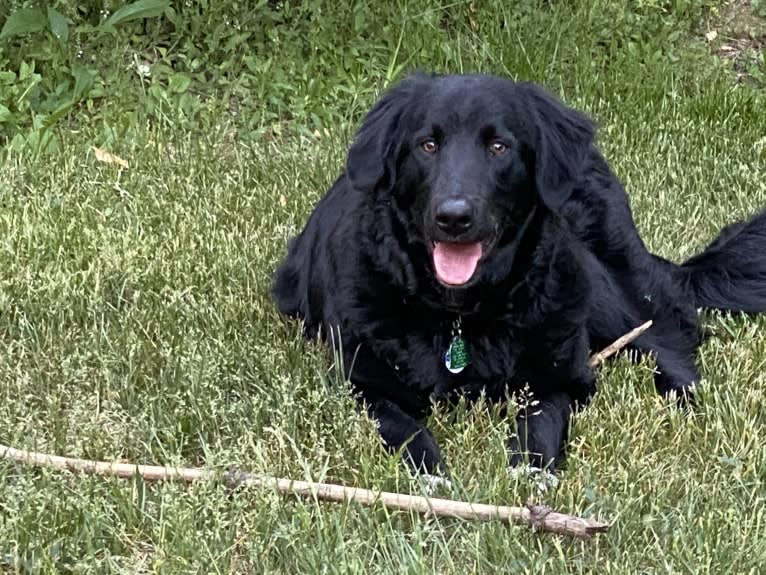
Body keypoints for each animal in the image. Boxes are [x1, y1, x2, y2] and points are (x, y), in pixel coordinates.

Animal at [272, 73, 766, 476]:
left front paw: (531, 470)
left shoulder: (561, 374)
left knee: (666, 341)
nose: (454, 217)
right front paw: (430, 472)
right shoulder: (361, 383)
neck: (460, 315)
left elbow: (542, 416)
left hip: (598, 284)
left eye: (499, 146)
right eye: (427, 145)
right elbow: (401, 426)